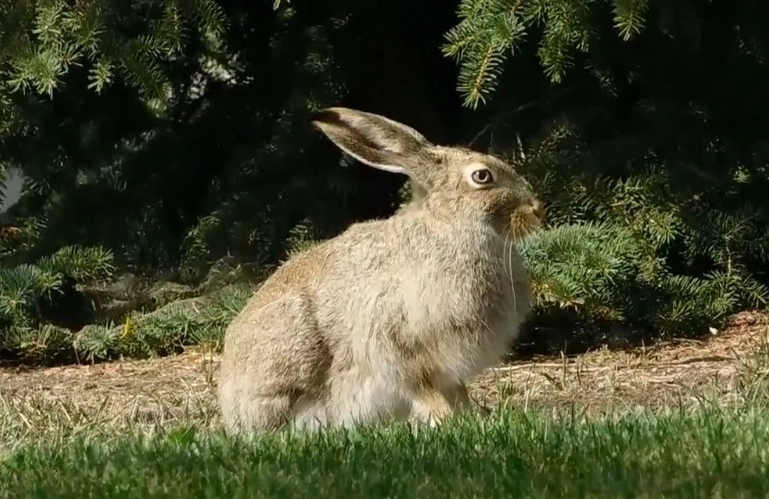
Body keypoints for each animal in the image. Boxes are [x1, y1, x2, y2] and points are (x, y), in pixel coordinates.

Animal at [218, 107, 545, 432]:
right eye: (482, 176)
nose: (537, 209)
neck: (449, 224)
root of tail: (230, 405)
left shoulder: (447, 371)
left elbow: (457, 392)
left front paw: (469, 418)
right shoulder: (397, 346)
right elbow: (422, 391)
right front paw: (446, 421)